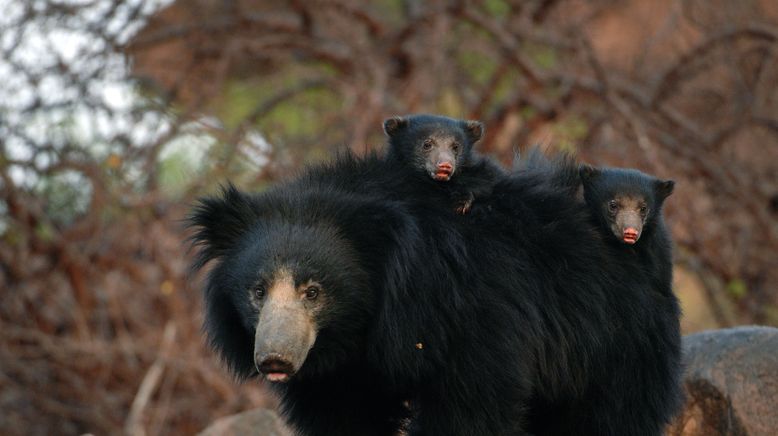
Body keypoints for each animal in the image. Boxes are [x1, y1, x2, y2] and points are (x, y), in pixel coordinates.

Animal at [189, 152, 680, 434]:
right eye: (257, 291)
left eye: (314, 292)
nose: (274, 359)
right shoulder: (339, 375)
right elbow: (346, 416)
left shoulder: (472, 314)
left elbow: (472, 404)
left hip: (617, 341)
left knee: (612, 416)